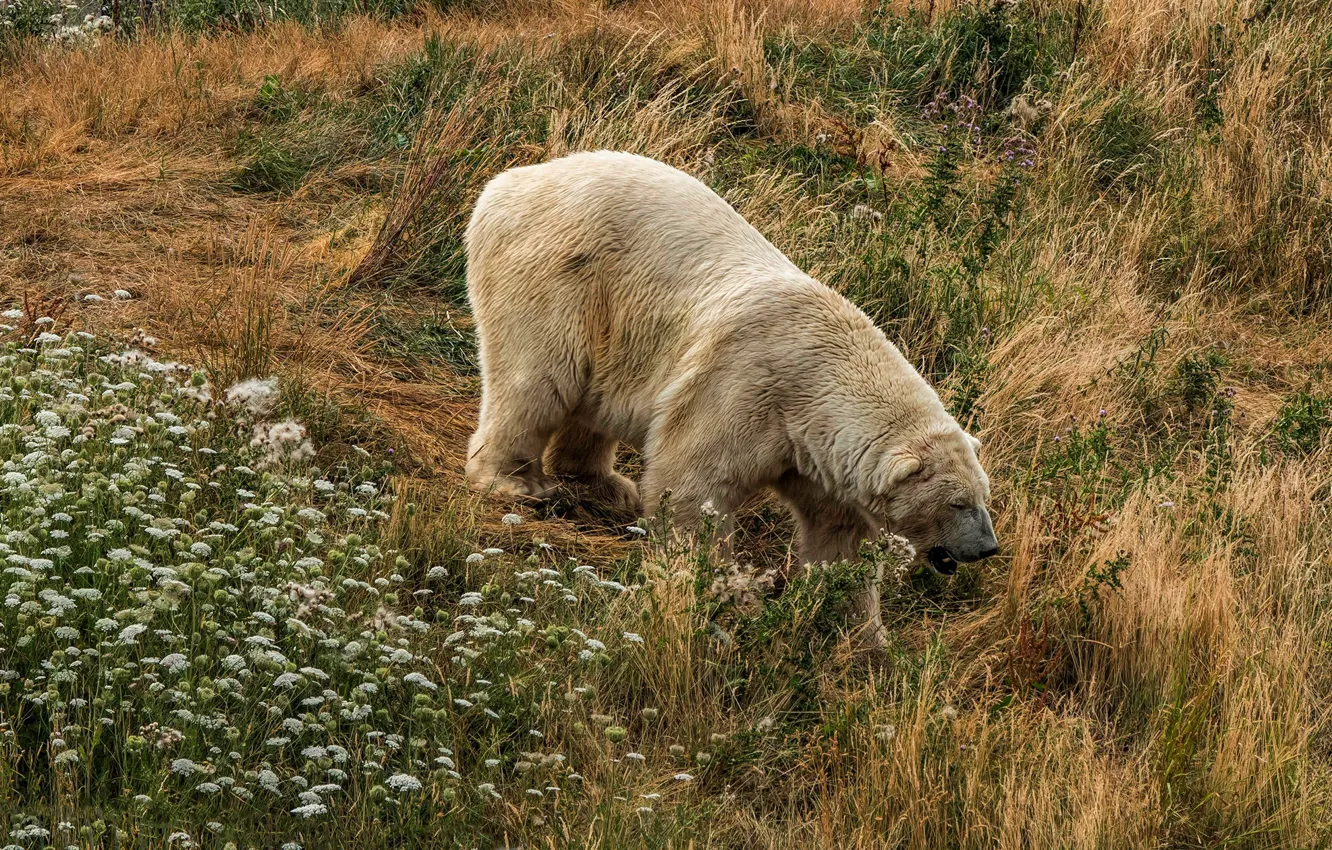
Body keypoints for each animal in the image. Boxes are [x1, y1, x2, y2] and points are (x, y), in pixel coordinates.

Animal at [463, 149, 996, 636]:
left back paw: (607, 487)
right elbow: (693, 483)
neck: (821, 376)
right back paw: (515, 481)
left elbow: (840, 535)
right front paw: (722, 590)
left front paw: (861, 631)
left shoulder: (816, 453)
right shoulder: (744, 385)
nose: (986, 547)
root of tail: (507, 184)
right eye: (957, 503)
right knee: (538, 378)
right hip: (563, 276)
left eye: (984, 495)